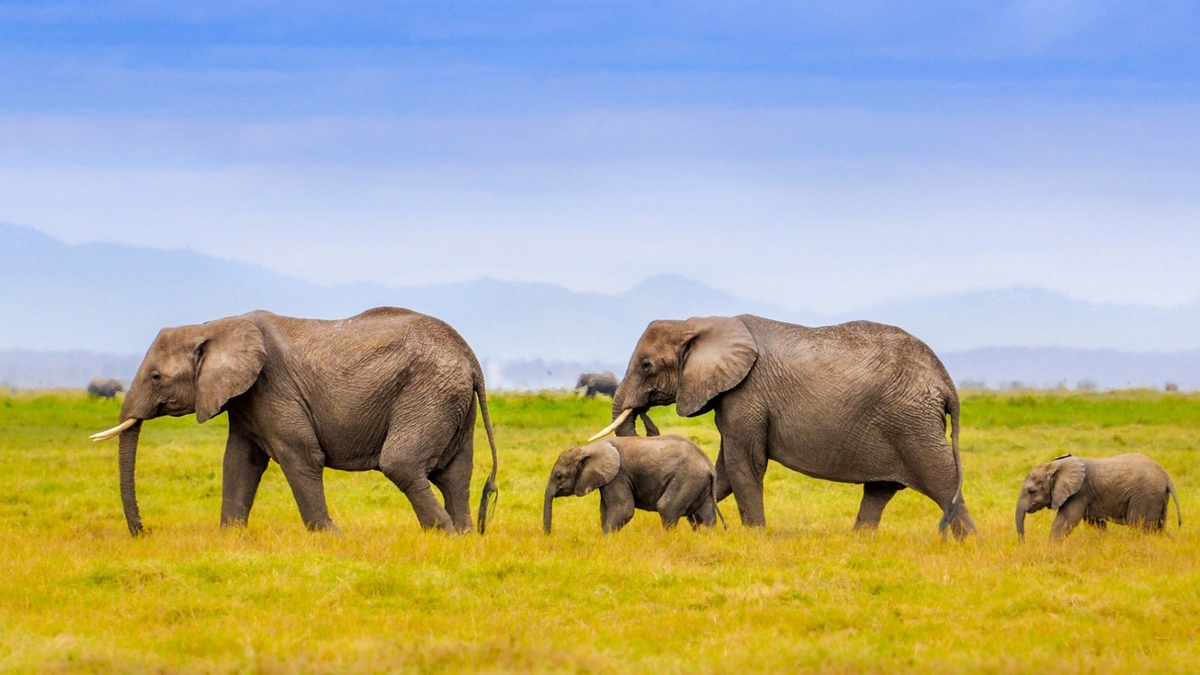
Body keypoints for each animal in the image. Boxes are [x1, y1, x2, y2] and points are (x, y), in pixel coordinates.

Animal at [87, 306, 494, 535]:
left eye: (156, 377)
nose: (143, 532)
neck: (213, 326)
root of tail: (470, 358)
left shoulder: (274, 388)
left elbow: (300, 457)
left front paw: (330, 537)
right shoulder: (247, 400)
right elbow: (239, 463)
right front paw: (230, 537)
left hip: (429, 392)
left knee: (402, 463)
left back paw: (444, 534)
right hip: (451, 400)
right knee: (454, 474)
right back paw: (463, 535)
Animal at [544, 432, 720, 533]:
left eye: (559, 476)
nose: (549, 535)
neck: (590, 448)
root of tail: (709, 466)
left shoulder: (618, 475)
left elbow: (623, 509)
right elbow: (605, 510)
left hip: (687, 478)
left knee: (667, 507)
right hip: (698, 482)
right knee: (704, 515)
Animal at [590, 312, 974, 538]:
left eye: (646, 365)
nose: (646, 419)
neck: (699, 323)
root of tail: (946, 382)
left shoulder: (746, 394)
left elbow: (743, 464)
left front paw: (754, 536)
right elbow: (723, 469)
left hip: (912, 424)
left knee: (942, 480)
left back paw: (971, 544)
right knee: (879, 490)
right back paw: (858, 542)